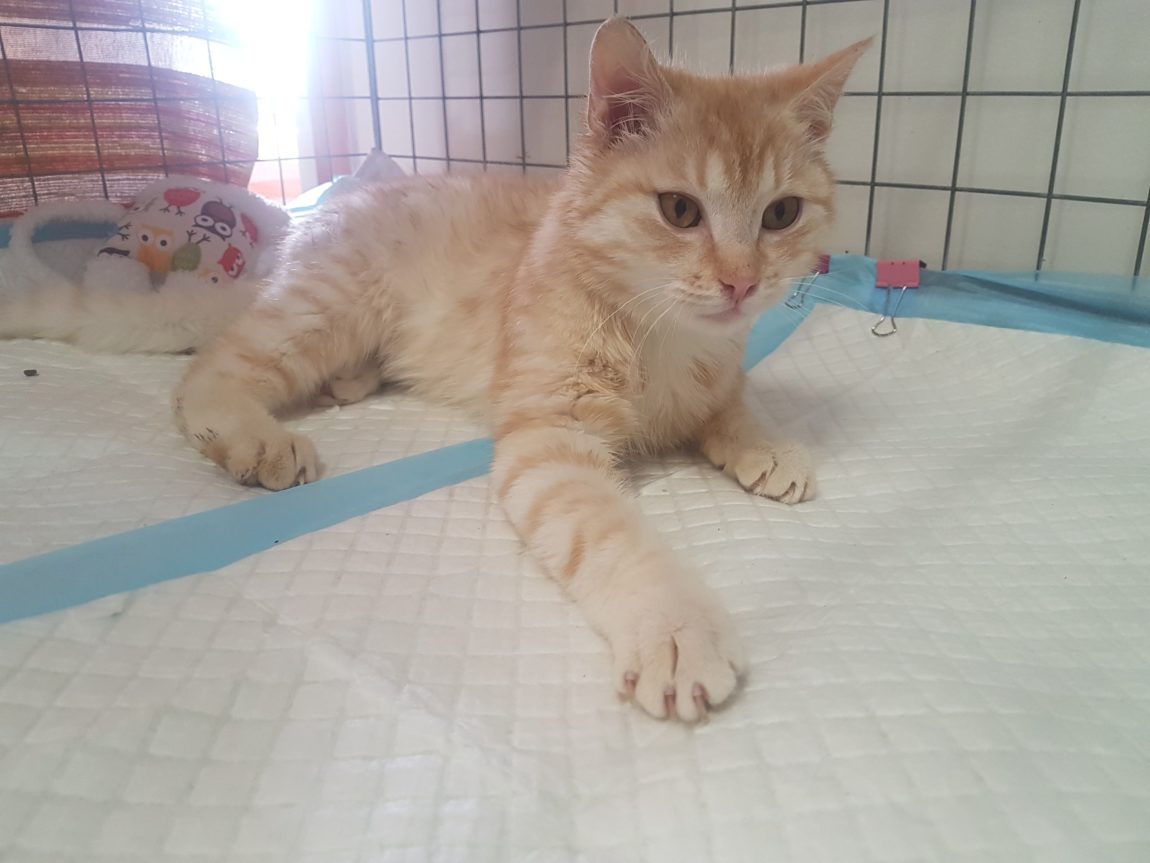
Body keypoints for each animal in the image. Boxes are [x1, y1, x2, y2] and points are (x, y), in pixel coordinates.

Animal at [174, 17, 869, 722]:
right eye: (680, 210)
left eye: (782, 214)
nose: (742, 283)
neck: (665, 336)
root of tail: (332, 202)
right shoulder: (549, 436)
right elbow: (606, 527)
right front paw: (674, 623)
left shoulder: (720, 376)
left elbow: (731, 406)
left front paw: (765, 444)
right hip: (325, 309)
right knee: (208, 371)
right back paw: (258, 438)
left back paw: (352, 381)